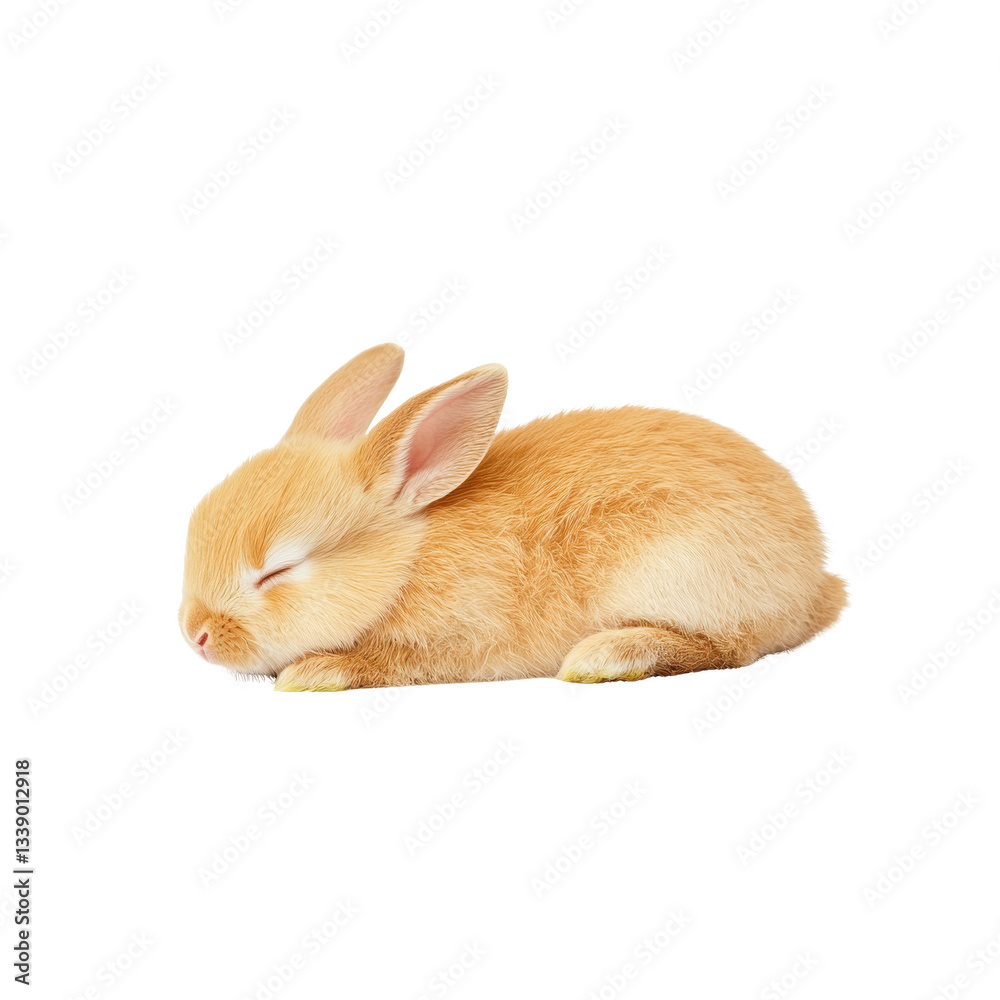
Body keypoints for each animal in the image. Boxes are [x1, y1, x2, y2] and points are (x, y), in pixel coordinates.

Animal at [179, 343, 846, 691]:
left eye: (278, 571)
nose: (196, 636)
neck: (406, 563)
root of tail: (816, 582)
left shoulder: (457, 638)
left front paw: (315, 672)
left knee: (730, 647)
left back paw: (606, 657)